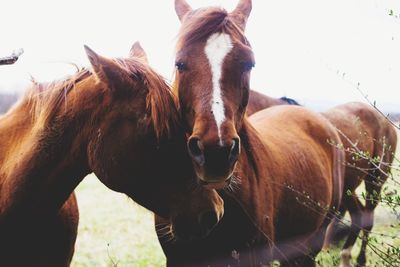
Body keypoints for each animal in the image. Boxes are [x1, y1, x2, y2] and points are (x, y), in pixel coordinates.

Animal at [247, 91, 396, 266]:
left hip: (374, 181)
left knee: (367, 218)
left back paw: (359, 259)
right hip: (347, 191)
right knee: (358, 214)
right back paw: (345, 256)